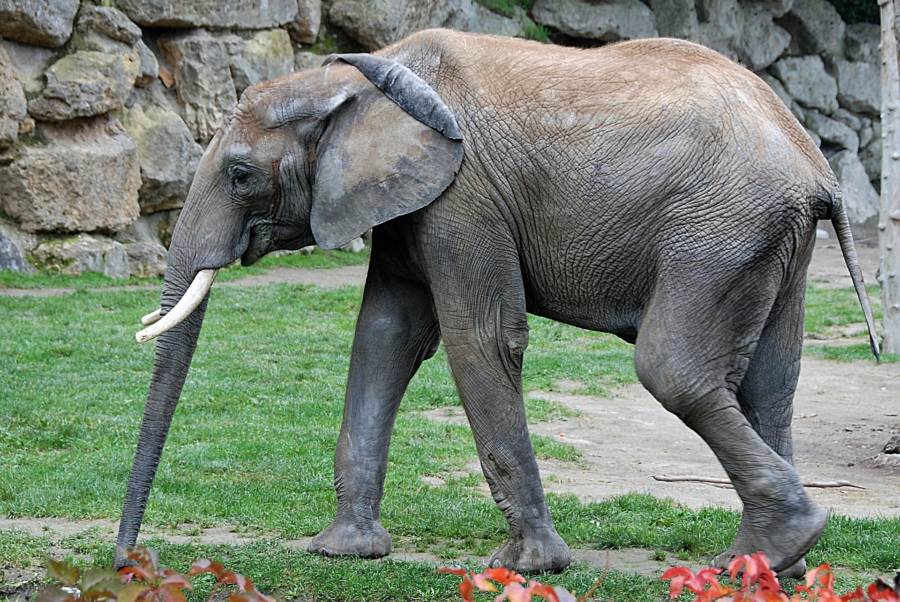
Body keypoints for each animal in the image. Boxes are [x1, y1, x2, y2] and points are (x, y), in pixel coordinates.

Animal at [117, 29, 880, 575]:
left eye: (241, 175)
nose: (128, 561)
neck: (358, 80)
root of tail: (817, 165)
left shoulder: (465, 195)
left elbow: (479, 339)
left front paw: (527, 568)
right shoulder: (410, 200)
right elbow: (385, 334)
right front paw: (342, 552)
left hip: (719, 231)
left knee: (675, 372)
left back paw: (768, 551)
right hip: (773, 242)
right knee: (769, 384)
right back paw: (774, 563)